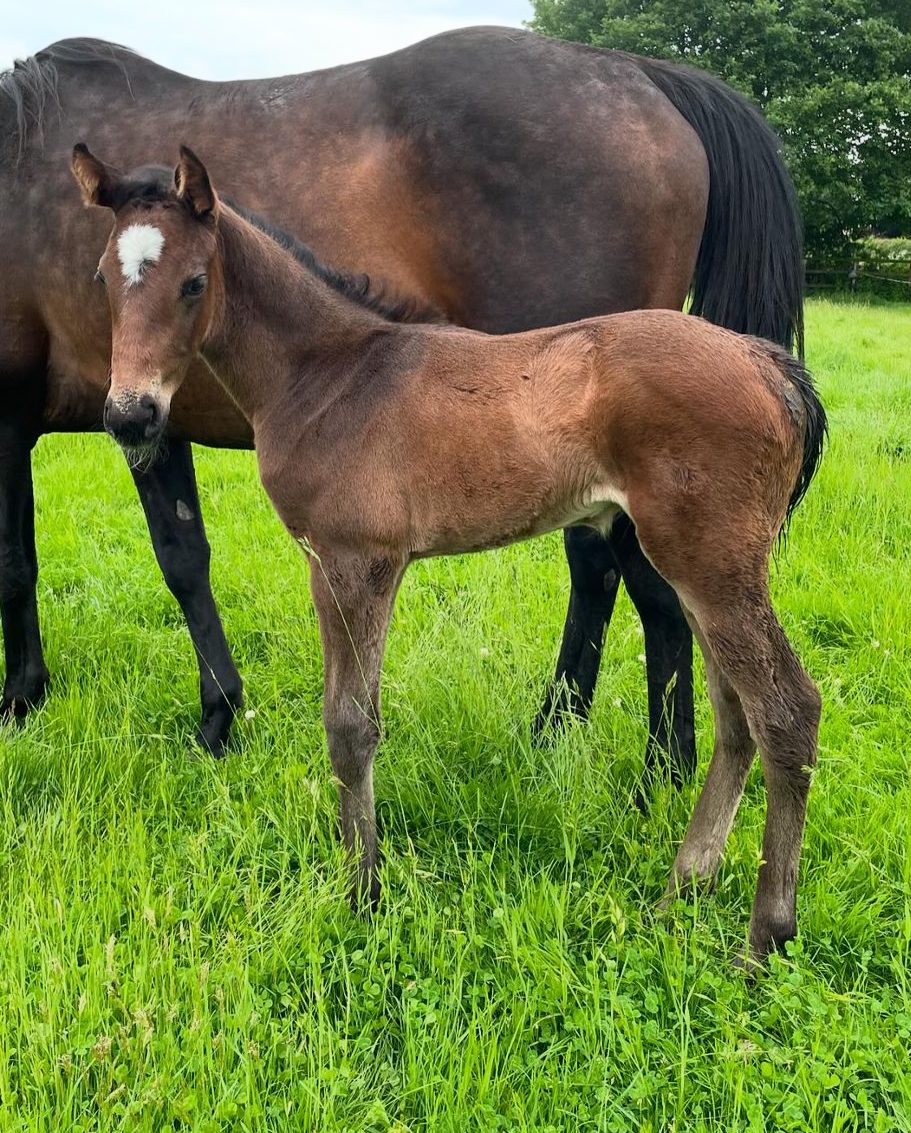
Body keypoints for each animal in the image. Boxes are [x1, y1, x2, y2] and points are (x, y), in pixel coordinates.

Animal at [1, 30, 804, 776]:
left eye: (193, 283)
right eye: (100, 279)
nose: (125, 412)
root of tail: (639, 71)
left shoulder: (33, 416)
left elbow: (32, 561)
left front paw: (24, 699)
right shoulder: (149, 422)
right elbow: (174, 559)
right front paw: (215, 715)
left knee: (636, 582)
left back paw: (658, 768)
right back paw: (560, 729)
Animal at [72, 144, 825, 962]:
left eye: (193, 282)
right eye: (103, 280)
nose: (131, 415)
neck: (330, 375)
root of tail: (765, 362)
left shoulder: (357, 563)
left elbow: (350, 727)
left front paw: (363, 893)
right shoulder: (335, 564)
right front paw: (357, 876)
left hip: (711, 561)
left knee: (786, 710)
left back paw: (766, 936)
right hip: (702, 566)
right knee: (735, 713)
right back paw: (682, 888)